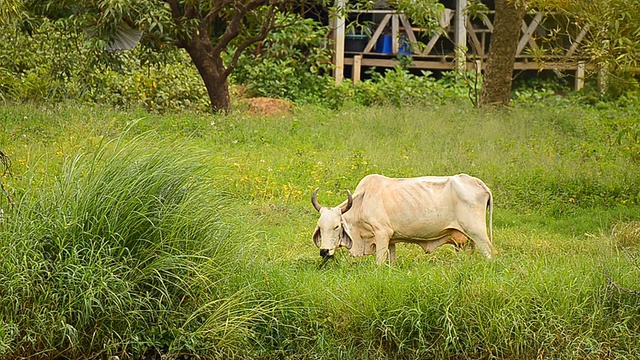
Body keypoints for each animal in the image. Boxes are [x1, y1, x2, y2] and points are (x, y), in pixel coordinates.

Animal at [310, 174, 496, 264]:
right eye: (320, 226)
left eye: (336, 226)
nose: (324, 251)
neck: (362, 202)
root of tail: (479, 183)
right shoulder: (391, 240)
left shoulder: (382, 234)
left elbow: (379, 262)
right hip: (470, 240)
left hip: (478, 232)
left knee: (490, 254)